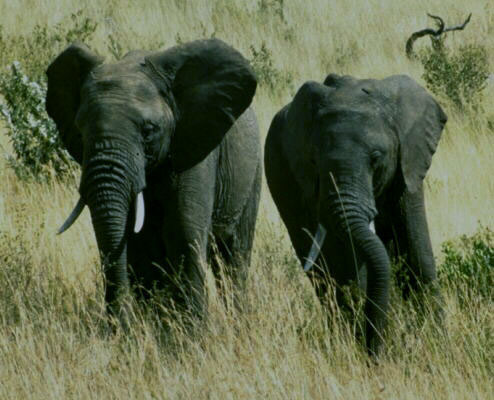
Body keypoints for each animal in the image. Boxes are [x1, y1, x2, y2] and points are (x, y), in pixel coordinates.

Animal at [46, 37, 262, 318]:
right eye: (81, 134)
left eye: (148, 131)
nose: (118, 321)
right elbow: (139, 245)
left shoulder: (194, 152)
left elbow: (183, 235)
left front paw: (193, 328)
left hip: (253, 170)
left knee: (234, 255)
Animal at [266, 73, 448, 354]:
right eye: (314, 162)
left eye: (376, 157)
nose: (375, 354)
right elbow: (349, 261)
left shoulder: (408, 166)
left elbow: (417, 250)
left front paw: (437, 343)